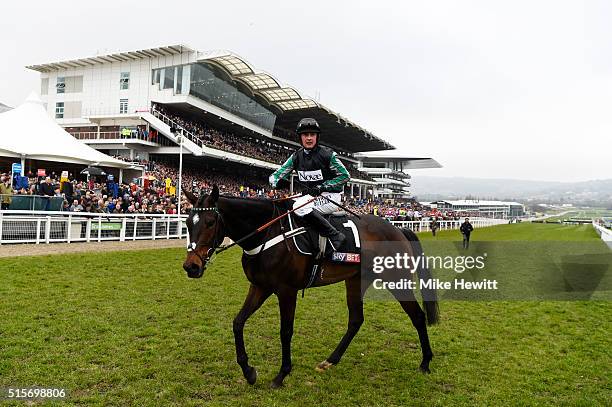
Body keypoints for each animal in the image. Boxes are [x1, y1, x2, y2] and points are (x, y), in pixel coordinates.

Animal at [182, 186, 440, 388]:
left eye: (210, 222)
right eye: (186, 223)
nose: (191, 266)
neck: (266, 233)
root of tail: (397, 229)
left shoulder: (286, 290)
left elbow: (285, 331)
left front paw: (281, 375)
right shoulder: (260, 287)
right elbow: (237, 322)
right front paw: (249, 371)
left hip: (396, 278)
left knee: (417, 316)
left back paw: (426, 362)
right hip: (356, 280)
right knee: (356, 320)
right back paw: (330, 360)